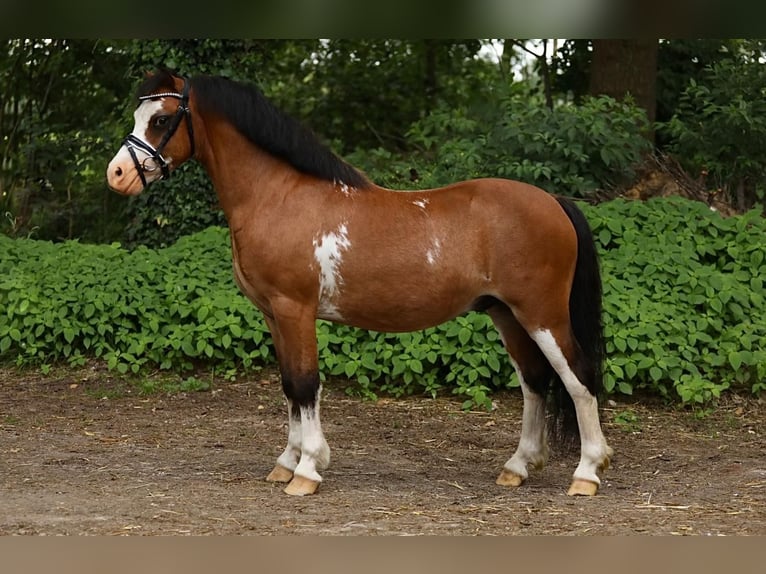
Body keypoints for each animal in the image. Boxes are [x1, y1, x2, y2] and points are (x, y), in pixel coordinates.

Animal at [108, 70, 616, 498]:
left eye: (161, 118)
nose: (117, 175)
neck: (279, 196)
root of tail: (553, 201)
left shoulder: (294, 309)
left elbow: (305, 383)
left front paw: (307, 471)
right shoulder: (273, 314)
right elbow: (288, 385)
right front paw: (287, 463)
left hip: (542, 314)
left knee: (578, 378)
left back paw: (587, 474)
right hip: (506, 314)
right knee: (534, 382)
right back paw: (518, 467)